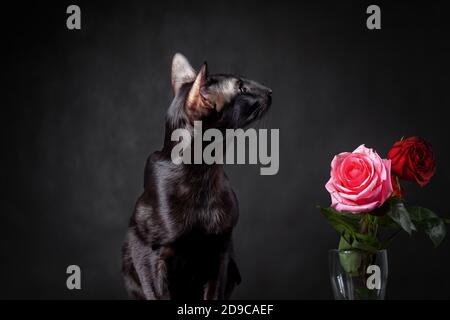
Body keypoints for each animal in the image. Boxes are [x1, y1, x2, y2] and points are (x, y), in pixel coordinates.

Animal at [121, 53, 272, 300]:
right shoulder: (145, 251)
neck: (202, 174)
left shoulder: (220, 250)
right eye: (241, 89)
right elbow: (157, 294)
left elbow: (213, 295)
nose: (269, 91)